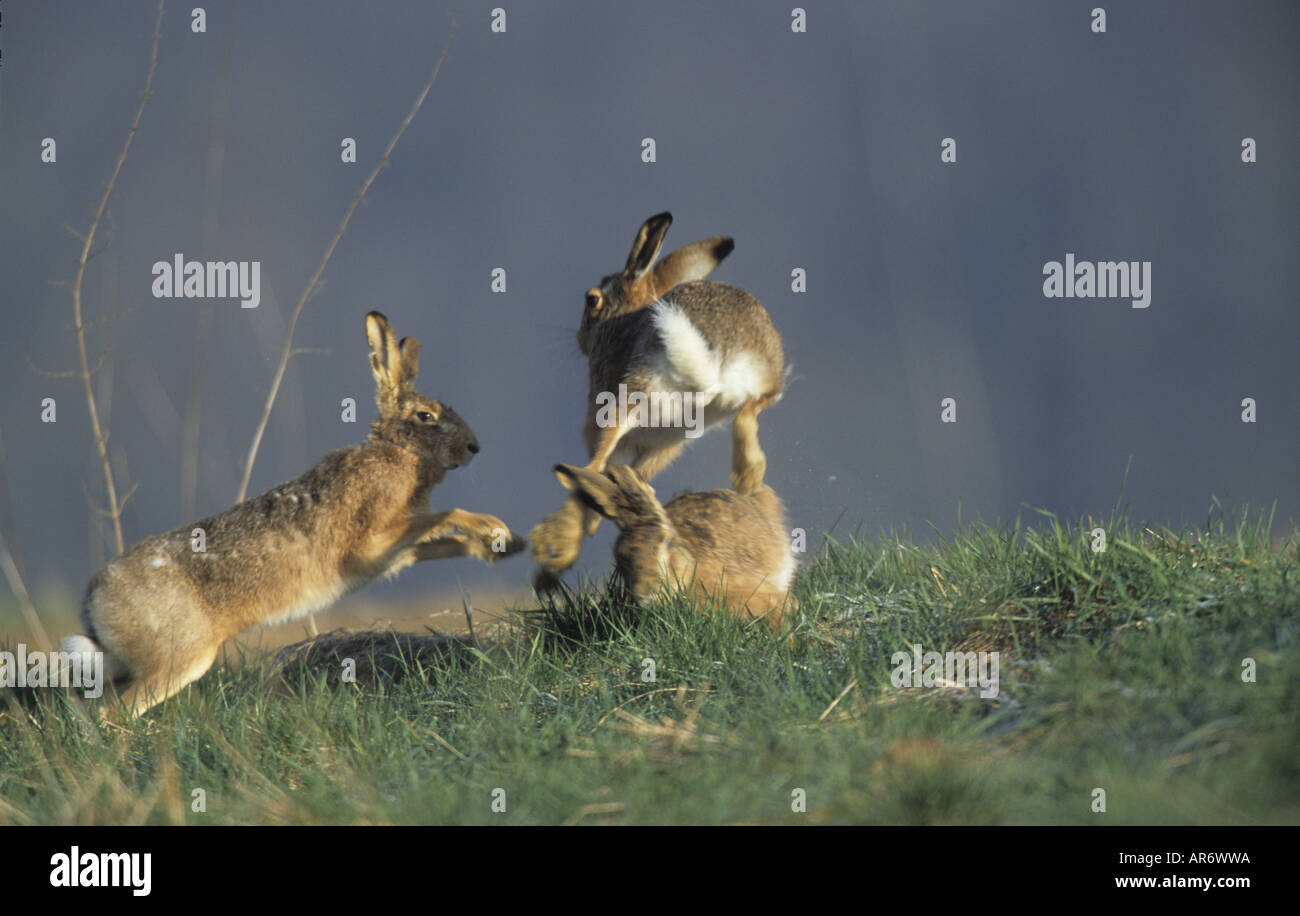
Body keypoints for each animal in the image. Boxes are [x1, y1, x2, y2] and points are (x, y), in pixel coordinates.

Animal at [58, 311, 524, 717]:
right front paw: (493, 528)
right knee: (114, 713)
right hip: (179, 658)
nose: (474, 447)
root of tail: (95, 600)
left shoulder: (396, 552)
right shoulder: (373, 540)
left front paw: (505, 545)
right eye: (425, 416)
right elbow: (444, 516)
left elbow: (440, 541)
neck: (398, 453)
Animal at [532, 212, 787, 587]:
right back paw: (748, 476)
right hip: (753, 385)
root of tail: (710, 360)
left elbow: (598, 474)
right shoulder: (657, 448)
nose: (580, 337)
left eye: (592, 300)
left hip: (626, 398)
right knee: (750, 413)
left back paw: (557, 551)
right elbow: (631, 479)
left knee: (590, 467)